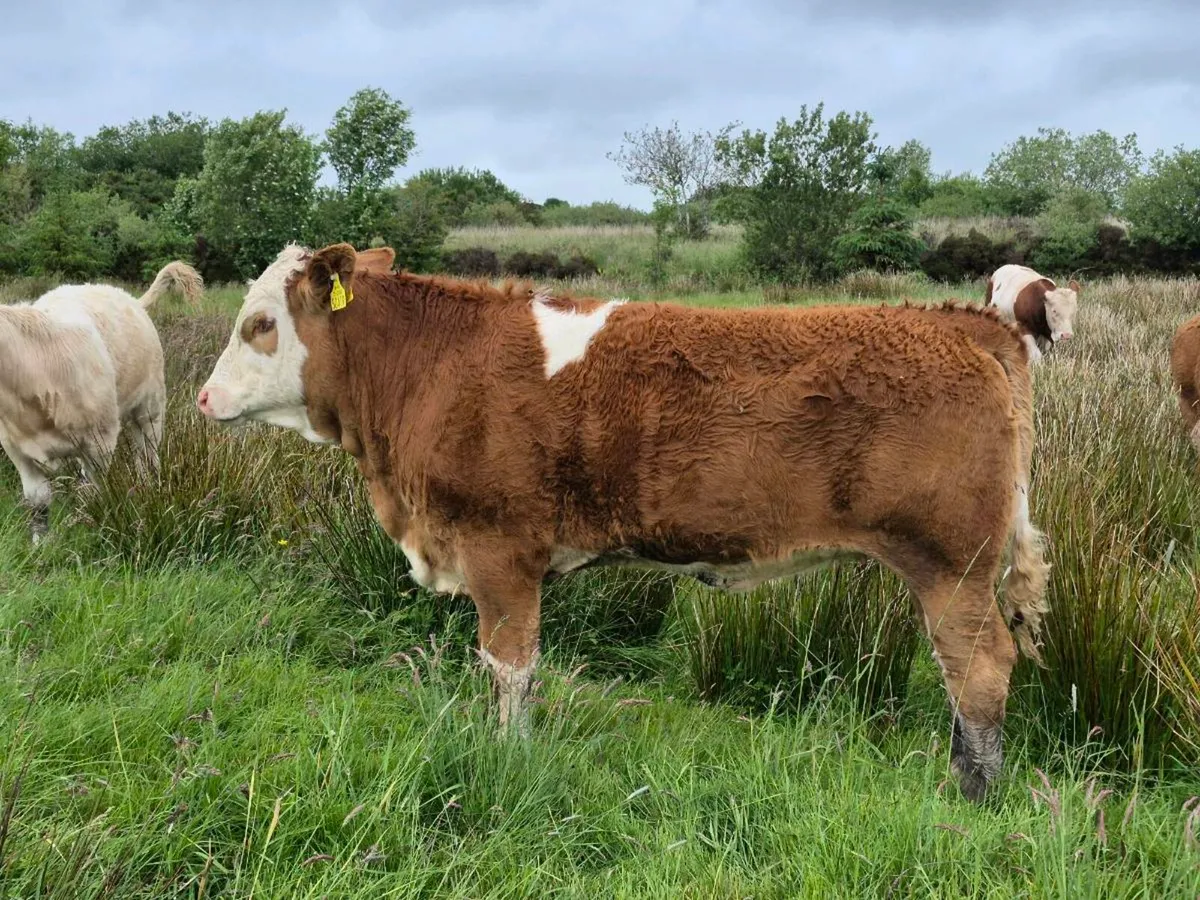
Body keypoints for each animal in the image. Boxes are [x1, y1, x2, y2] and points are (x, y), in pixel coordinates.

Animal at [1, 261, 203, 542]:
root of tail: (130, 299)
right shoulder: (17, 448)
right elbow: (38, 501)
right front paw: (40, 543)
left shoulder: (101, 441)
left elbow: (94, 491)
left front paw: (92, 525)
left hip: (150, 407)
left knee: (147, 455)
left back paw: (149, 489)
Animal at [197, 242, 1051, 802]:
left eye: (260, 324)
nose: (203, 399)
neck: (433, 365)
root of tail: (964, 325)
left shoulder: (500, 548)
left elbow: (510, 667)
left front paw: (508, 756)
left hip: (953, 563)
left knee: (979, 669)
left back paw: (976, 793)